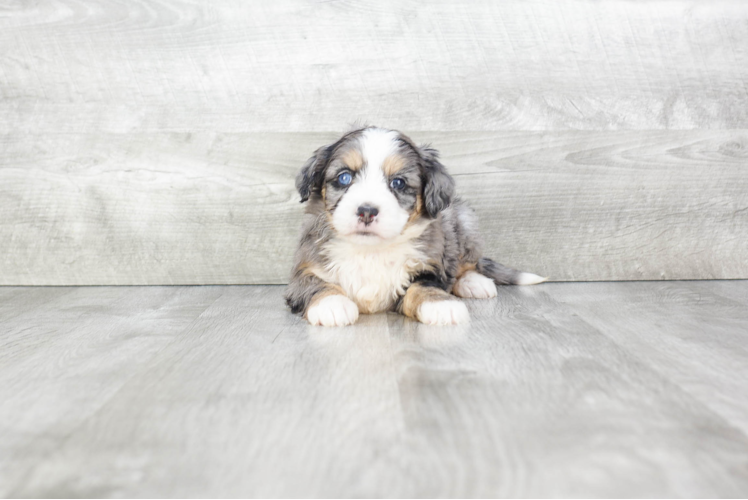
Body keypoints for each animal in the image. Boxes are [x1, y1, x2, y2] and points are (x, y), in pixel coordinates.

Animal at [284, 127, 548, 326]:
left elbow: (422, 286)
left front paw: (441, 304)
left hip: (464, 222)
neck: (370, 250)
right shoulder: (302, 271)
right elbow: (315, 284)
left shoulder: (429, 268)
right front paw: (332, 304)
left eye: (398, 183)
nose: (367, 211)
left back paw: (474, 283)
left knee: (468, 264)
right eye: (344, 177)